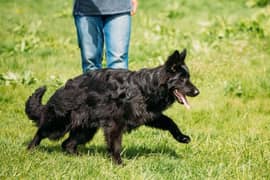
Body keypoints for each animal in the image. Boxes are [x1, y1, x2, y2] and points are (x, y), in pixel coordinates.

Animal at [24, 48, 198, 164]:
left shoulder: (149, 115)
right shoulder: (115, 123)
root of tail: (59, 91)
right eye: (182, 79)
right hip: (59, 125)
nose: (197, 92)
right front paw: (118, 163)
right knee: (41, 132)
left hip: (85, 129)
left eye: (188, 77)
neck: (146, 88)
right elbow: (115, 144)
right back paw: (30, 149)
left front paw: (182, 137)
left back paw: (80, 157)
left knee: (67, 144)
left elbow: (170, 122)